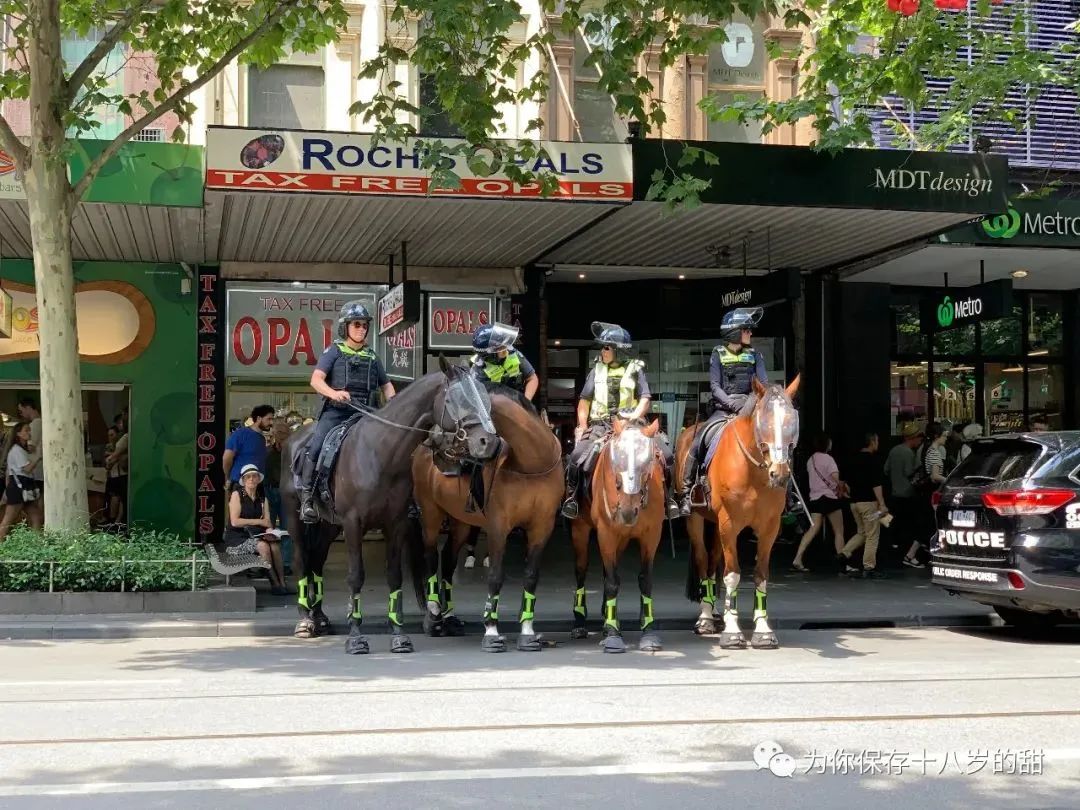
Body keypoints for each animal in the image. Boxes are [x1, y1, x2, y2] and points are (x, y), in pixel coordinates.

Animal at [278, 365, 496, 656]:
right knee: (302, 559)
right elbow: (355, 577)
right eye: (456, 400)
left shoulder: (396, 523)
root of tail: (294, 437)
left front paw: (399, 635)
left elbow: (395, 577)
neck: (381, 453)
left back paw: (320, 617)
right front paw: (356, 638)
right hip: (296, 517)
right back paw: (305, 620)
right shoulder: (353, 523)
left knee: (317, 559)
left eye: (483, 395)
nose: (488, 441)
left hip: (330, 524)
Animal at [410, 386, 565, 652]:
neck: (531, 463)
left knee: (448, 560)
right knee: (430, 556)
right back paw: (433, 617)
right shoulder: (498, 527)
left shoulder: (541, 527)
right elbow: (495, 576)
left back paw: (449, 617)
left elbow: (531, 577)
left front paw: (527, 632)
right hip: (430, 513)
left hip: (461, 521)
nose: (436, 439)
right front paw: (491, 632)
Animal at [565, 419, 665, 652]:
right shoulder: (606, 532)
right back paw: (580, 622)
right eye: (615, 464)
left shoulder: (652, 535)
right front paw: (612, 634)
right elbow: (612, 581)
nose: (627, 511)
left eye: (648, 463)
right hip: (580, 528)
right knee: (581, 570)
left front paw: (648, 630)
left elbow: (645, 580)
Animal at [673, 375, 803, 652]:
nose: (780, 473)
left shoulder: (769, 527)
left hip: (715, 524)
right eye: (763, 421)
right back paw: (705, 618)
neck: (754, 472)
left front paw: (762, 630)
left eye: (791, 420)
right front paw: (733, 632)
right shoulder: (729, 524)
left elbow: (761, 575)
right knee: (703, 561)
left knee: (714, 560)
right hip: (697, 520)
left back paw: (716, 612)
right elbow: (732, 575)